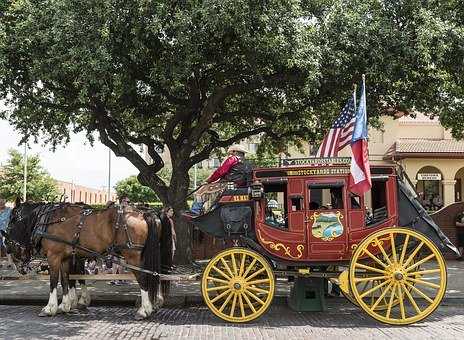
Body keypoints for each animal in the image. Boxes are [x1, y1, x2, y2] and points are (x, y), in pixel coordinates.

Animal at [2, 199, 171, 318]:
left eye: (12, 219)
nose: (21, 268)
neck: (48, 220)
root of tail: (143, 213)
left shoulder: (54, 256)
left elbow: (54, 281)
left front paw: (50, 308)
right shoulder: (66, 257)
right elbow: (66, 280)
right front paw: (66, 305)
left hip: (132, 256)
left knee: (144, 277)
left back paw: (144, 309)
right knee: (155, 275)